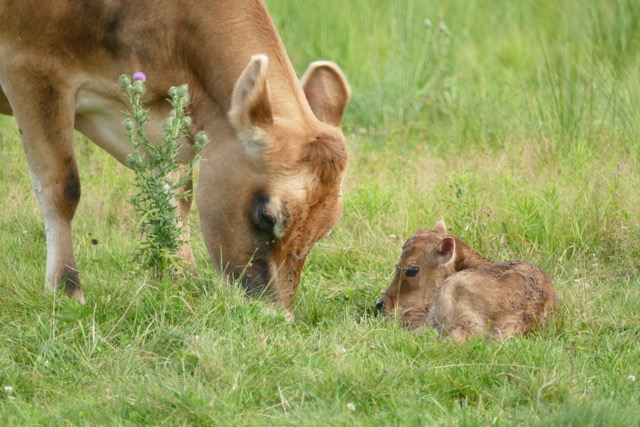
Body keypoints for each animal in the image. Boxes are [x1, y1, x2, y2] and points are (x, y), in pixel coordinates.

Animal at [0, 0, 351, 306]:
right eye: (267, 216)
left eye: (324, 231)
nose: (276, 312)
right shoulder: (32, 70)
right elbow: (62, 188)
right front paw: (66, 289)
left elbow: (177, 197)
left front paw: (184, 281)